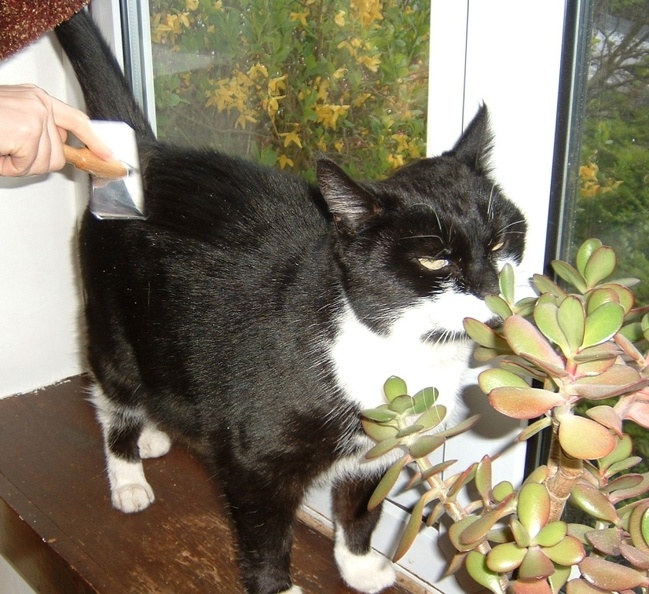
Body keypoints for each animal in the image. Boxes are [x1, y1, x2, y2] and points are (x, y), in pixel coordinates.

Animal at [53, 9, 524, 592]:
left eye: (501, 242)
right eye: (435, 261)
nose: (496, 300)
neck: (394, 346)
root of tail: (145, 152)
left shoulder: (384, 440)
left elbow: (362, 501)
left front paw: (359, 564)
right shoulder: (254, 458)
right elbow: (264, 530)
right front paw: (277, 584)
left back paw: (154, 434)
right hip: (112, 321)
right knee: (111, 390)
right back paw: (127, 471)